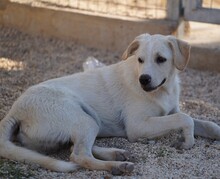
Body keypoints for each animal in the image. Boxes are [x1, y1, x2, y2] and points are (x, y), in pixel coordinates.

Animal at [0, 34, 220, 175]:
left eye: (161, 59)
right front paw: (187, 141)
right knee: (78, 156)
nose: (144, 80)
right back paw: (116, 166)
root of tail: (14, 110)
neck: (162, 90)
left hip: (85, 122)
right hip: (84, 120)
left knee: (74, 147)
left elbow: (205, 123)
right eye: (140, 60)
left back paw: (117, 154)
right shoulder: (137, 126)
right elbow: (185, 118)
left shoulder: (171, 111)